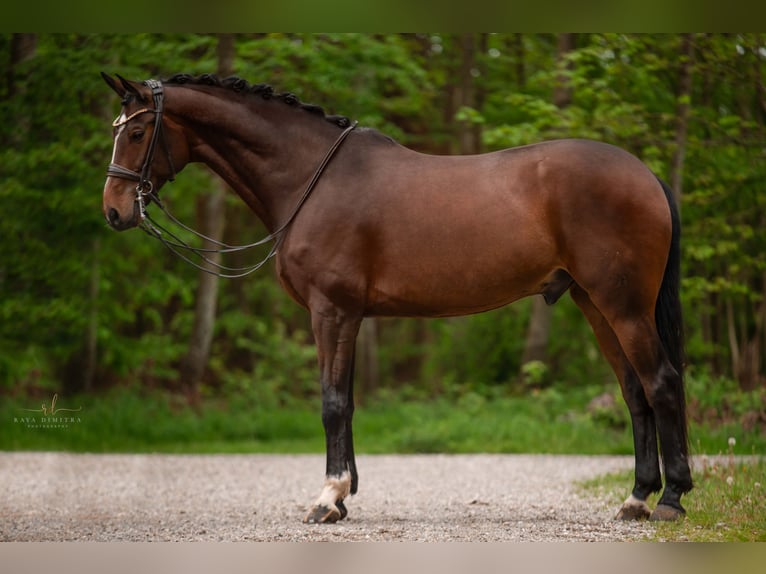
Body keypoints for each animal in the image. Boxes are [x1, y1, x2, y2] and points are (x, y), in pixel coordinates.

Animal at [99, 73, 692, 528]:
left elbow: (332, 404)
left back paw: (670, 499)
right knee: (634, 392)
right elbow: (348, 402)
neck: (311, 179)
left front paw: (327, 499)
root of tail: (645, 174)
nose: (114, 211)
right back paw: (636, 499)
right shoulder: (351, 316)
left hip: (624, 306)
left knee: (661, 383)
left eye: (138, 130)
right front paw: (344, 497)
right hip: (595, 305)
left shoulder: (331, 311)